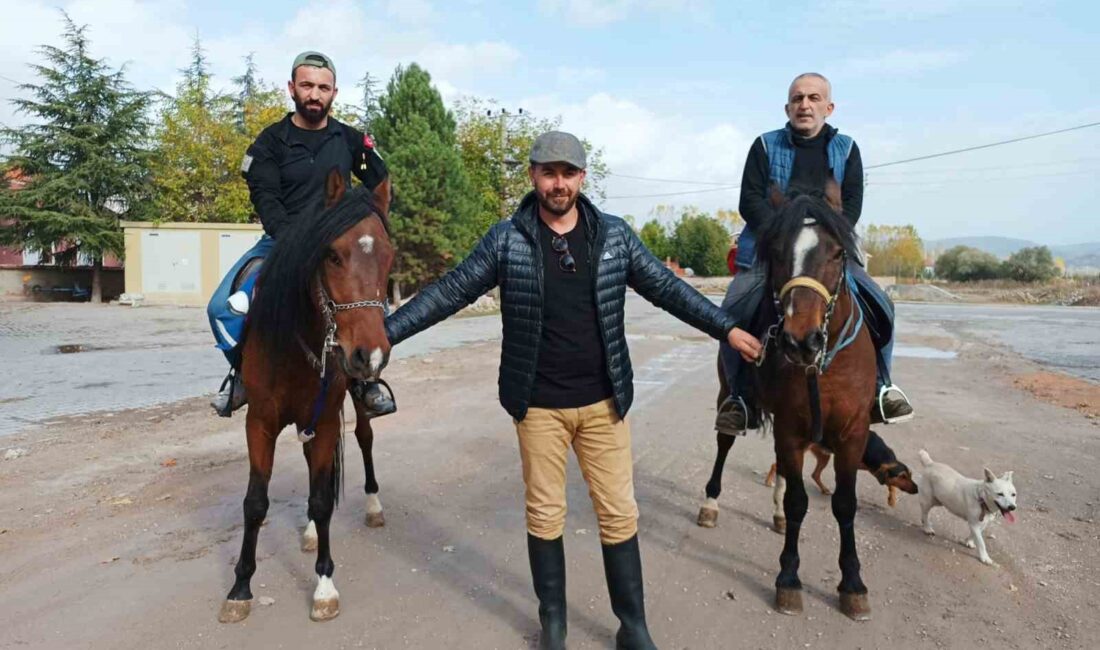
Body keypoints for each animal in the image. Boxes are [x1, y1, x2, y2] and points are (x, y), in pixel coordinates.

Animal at [216, 171, 393, 624]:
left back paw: (372, 506)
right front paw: (240, 588)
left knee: (364, 440)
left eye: (390, 257)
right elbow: (255, 503)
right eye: (331, 255)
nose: (369, 355)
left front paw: (324, 586)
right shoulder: (260, 422)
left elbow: (322, 498)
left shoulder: (327, 419)